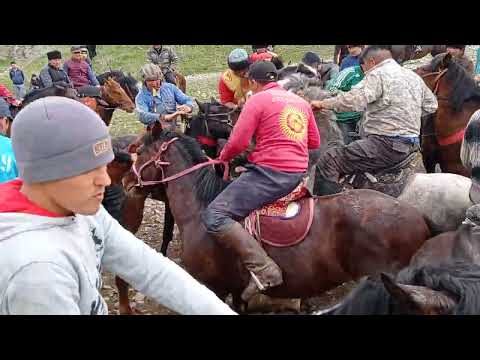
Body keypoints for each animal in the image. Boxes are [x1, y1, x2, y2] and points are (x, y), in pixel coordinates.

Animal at [122, 125, 434, 310]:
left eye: (139, 150)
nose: (125, 181)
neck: (199, 210)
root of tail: (417, 216)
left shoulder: (215, 288)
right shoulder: (235, 291)